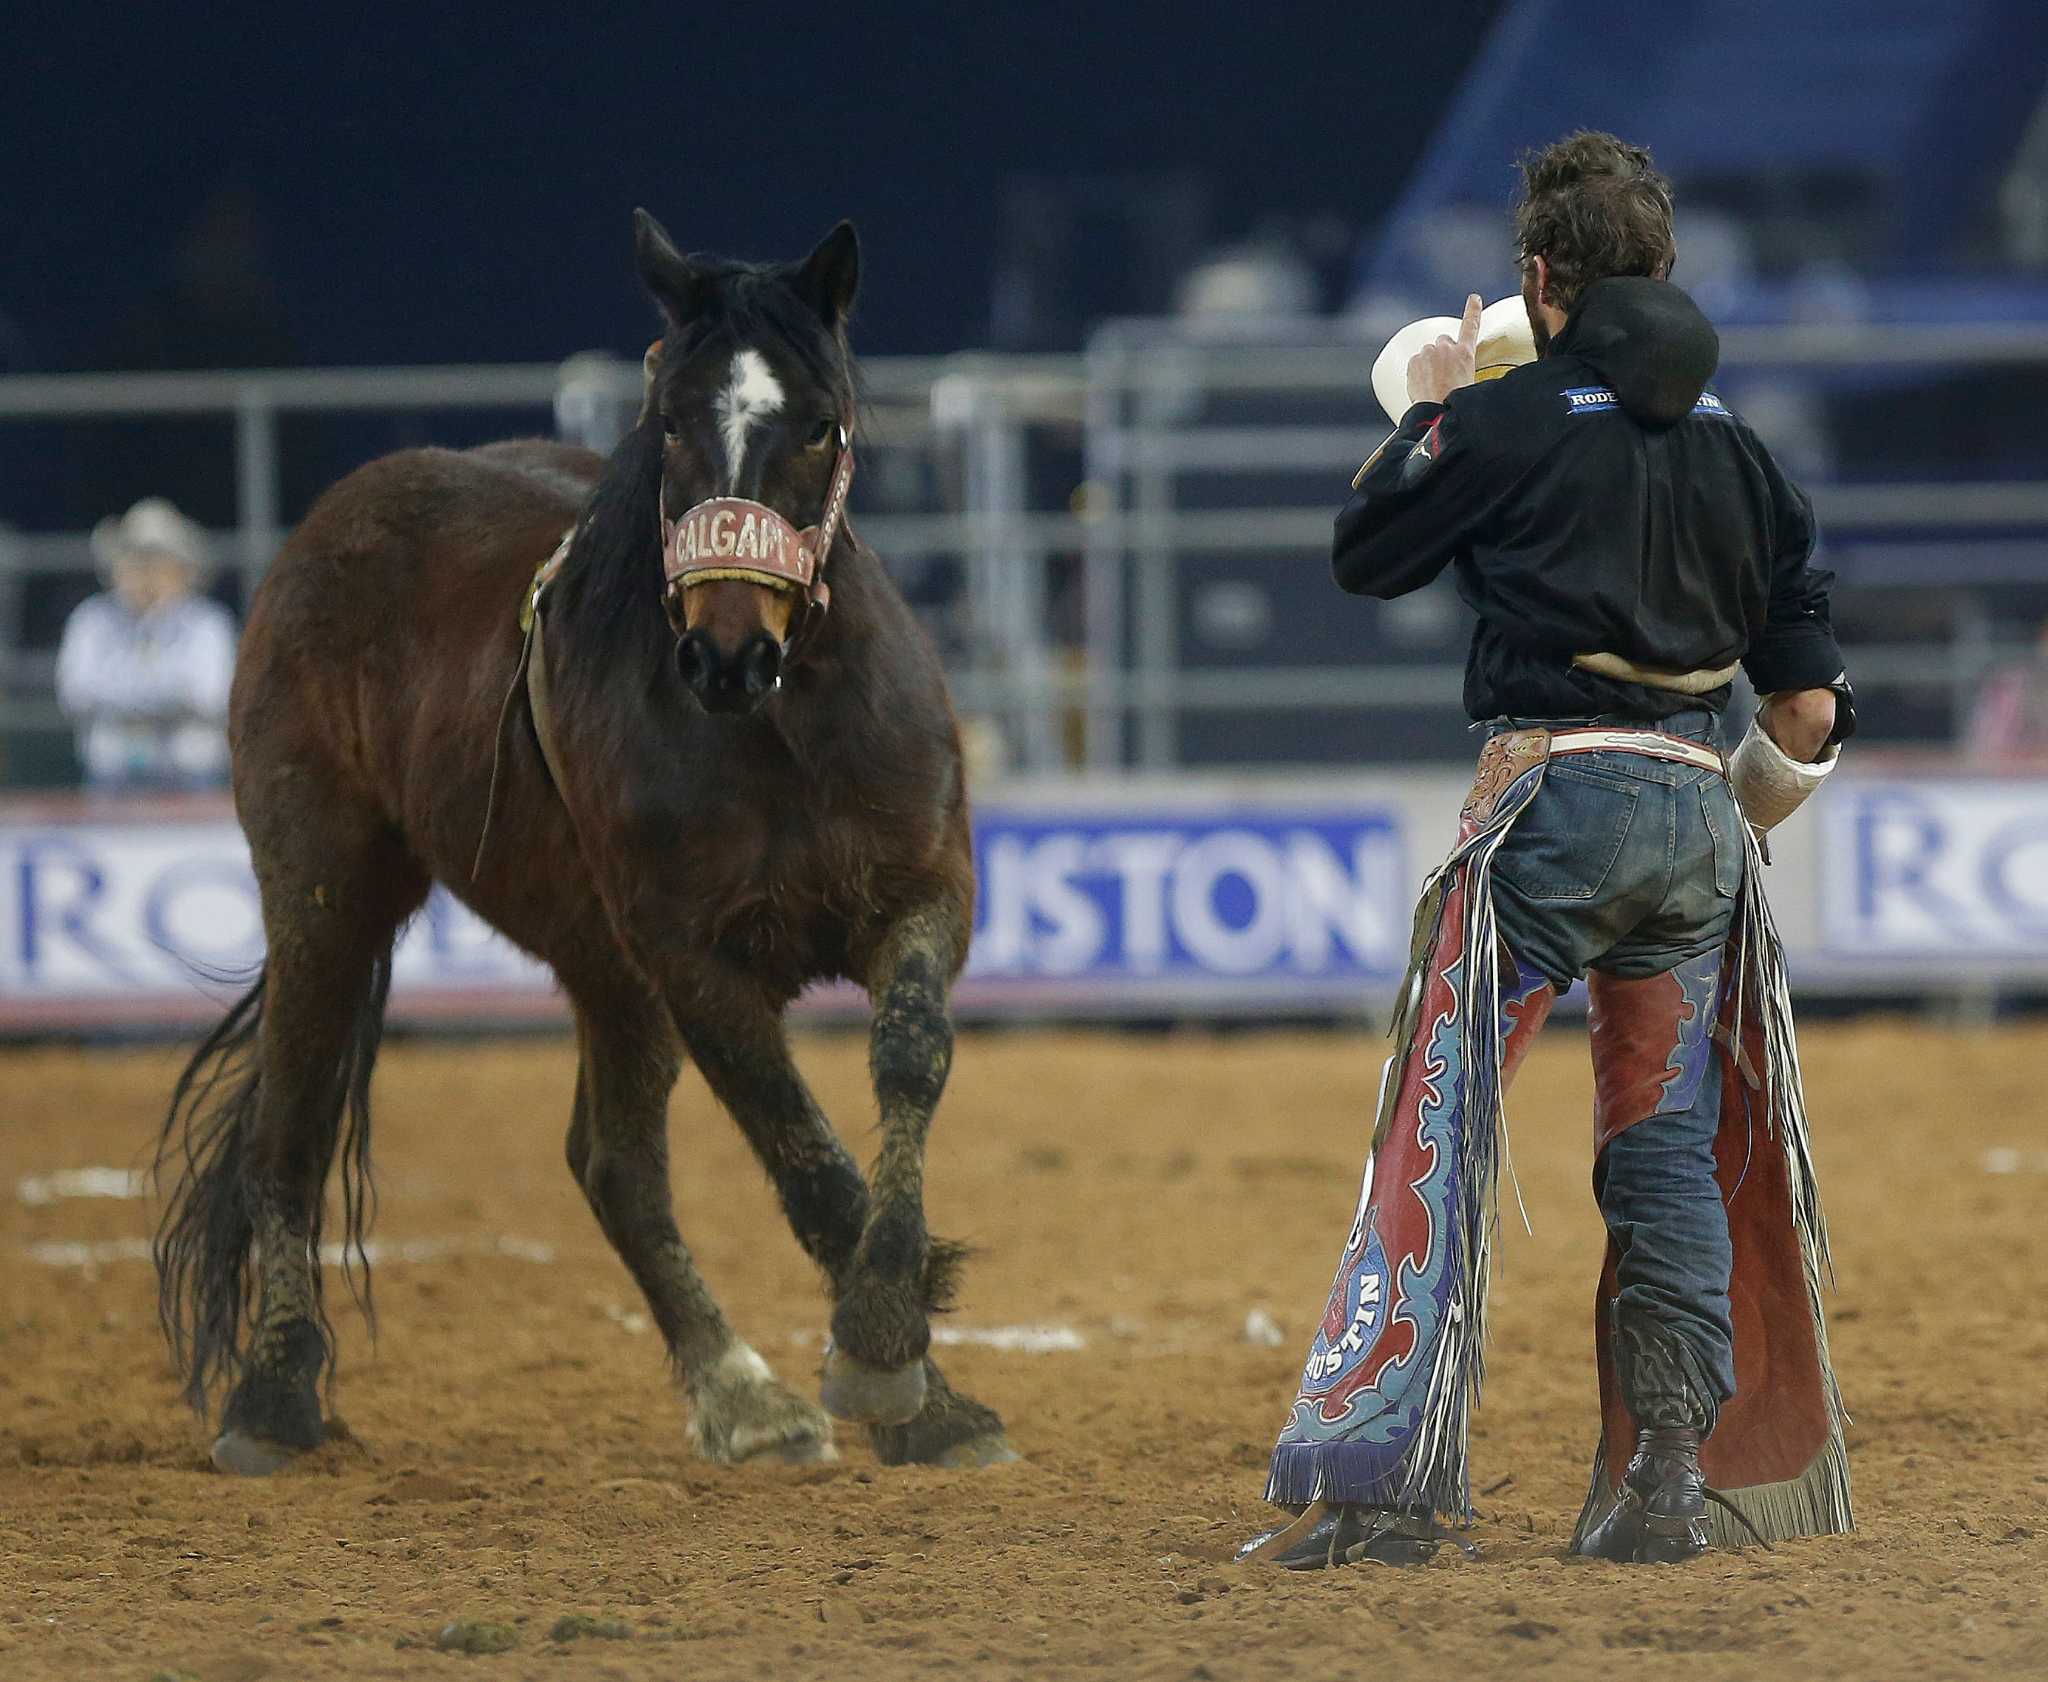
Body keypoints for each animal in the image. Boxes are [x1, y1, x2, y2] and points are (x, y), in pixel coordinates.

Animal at [151, 209, 1007, 1466]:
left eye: (818, 421)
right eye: (671, 420)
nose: (724, 653)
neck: (784, 731)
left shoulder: (920, 893)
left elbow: (906, 1061)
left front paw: (920, 1374)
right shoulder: (689, 958)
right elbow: (797, 1142)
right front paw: (889, 1357)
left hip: (600, 966)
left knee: (611, 1166)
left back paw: (745, 1398)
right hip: (326, 895)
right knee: (291, 1128)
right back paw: (272, 1395)